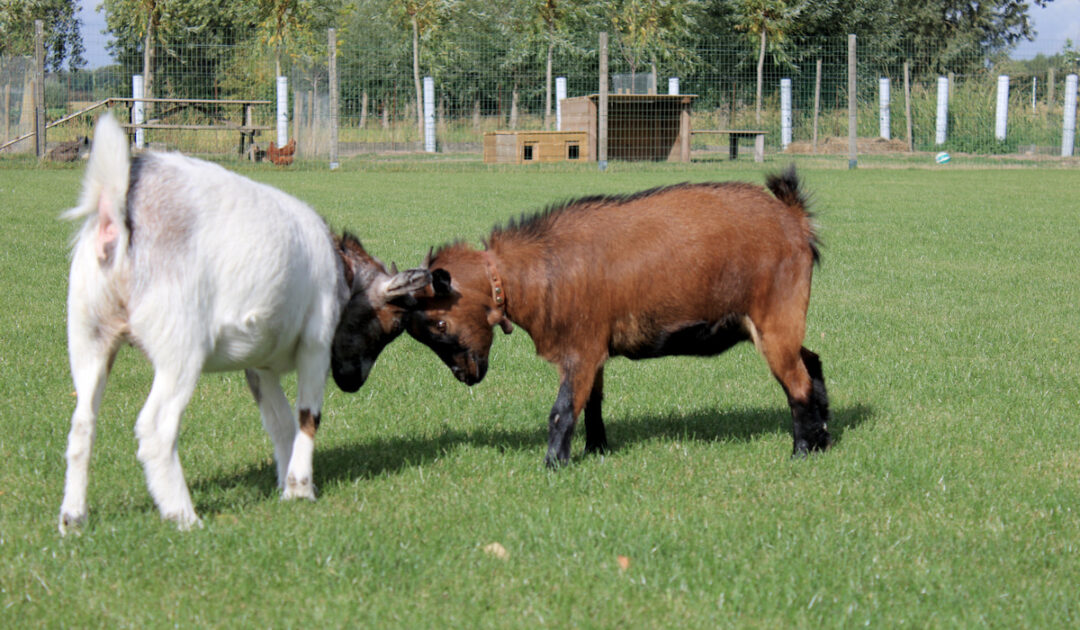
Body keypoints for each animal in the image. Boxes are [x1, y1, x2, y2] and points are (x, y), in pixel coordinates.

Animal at [59, 114, 430, 533]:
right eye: (393, 325)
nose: (353, 383)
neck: (344, 270)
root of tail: (116, 211)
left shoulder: (260, 366)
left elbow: (280, 422)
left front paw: (288, 485)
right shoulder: (316, 345)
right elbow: (308, 416)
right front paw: (301, 487)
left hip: (90, 335)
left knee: (82, 423)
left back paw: (73, 519)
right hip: (179, 348)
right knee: (156, 427)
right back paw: (184, 515)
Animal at [407, 168, 831, 467]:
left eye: (440, 323)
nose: (465, 375)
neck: (535, 270)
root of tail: (794, 218)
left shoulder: (579, 348)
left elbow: (562, 411)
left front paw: (552, 465)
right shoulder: (593, 350)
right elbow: (592, 404)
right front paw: (596, 450)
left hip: (776, 317)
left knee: (797, 383)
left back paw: (800, 452)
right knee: (811, 363)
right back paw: (824, 439)